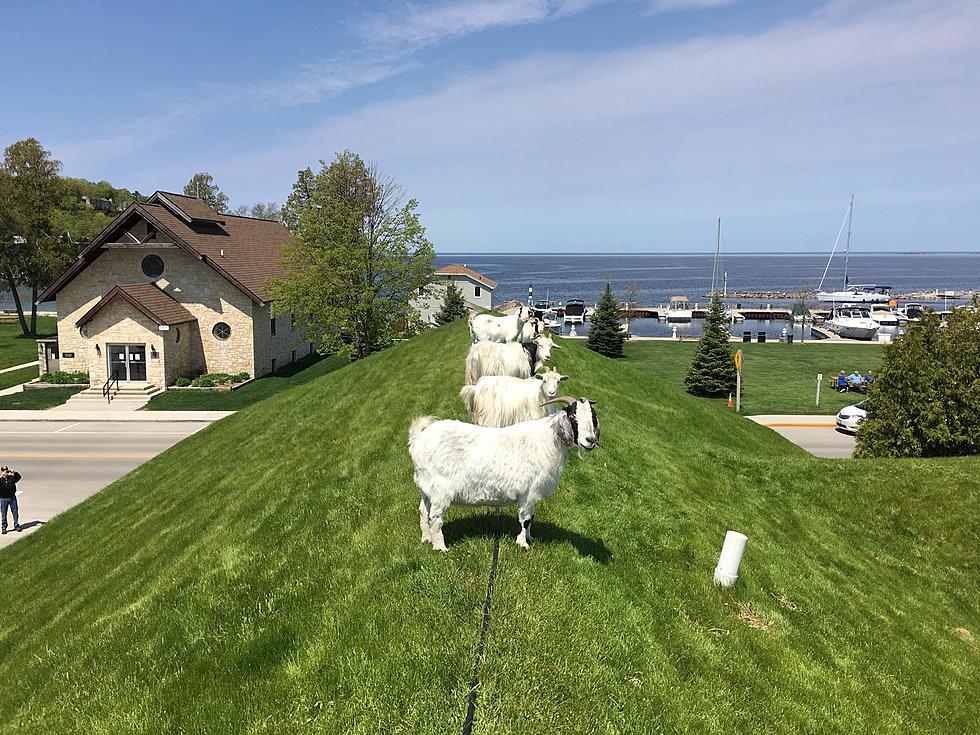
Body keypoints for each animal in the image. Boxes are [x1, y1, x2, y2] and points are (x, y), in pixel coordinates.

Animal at [410, 396, 600, 552]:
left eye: (593, 418)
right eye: (573, 417)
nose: (590, 440)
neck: (548, 441)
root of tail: (417, 440)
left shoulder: (533, 495)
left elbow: (531, 517)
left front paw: (530, 538)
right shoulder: (528, 493)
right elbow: (525, 519)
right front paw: (522, 543)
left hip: (426, 488)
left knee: (423, 511)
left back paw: (426, 539)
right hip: (440, 489)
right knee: (435, 517)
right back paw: (440, 547)